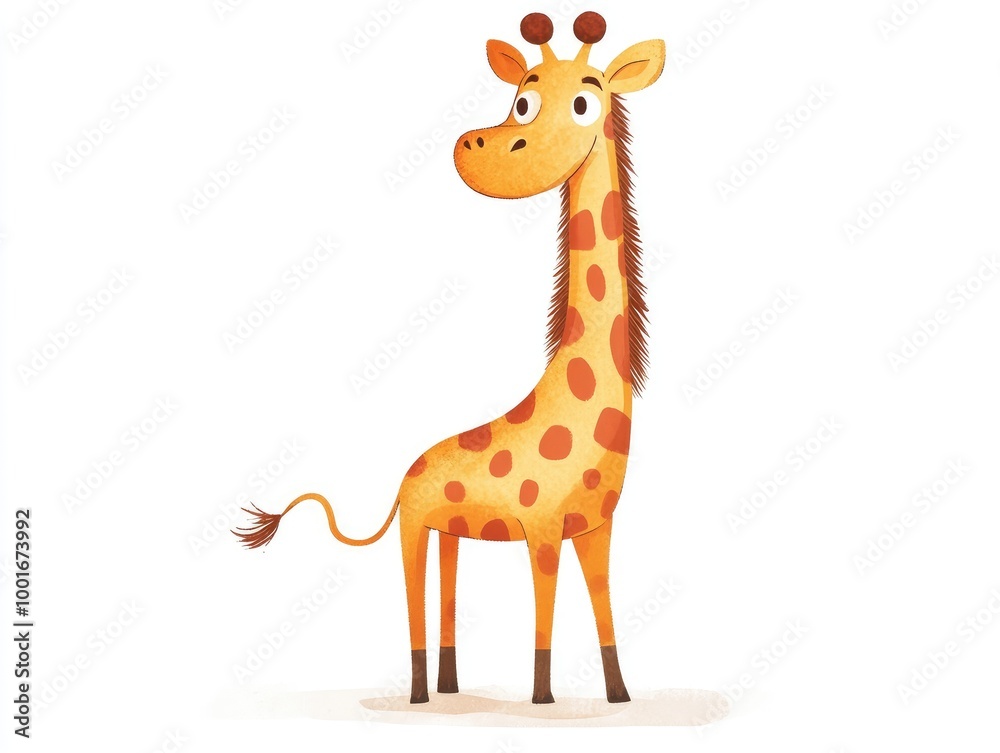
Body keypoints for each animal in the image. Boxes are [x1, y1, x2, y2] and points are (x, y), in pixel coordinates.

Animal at [234, 11, 665, 706]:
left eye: (584, 102)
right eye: (520, 99)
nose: (472, 146)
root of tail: (406, 475)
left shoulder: (595, 528)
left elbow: (603, 609)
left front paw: (619, 696)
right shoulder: (542, 529)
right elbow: (545, 611)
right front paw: (542, 699)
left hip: (449, 531)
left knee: (446, 595)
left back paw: (449, 684)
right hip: (414, 526)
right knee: (413, 598)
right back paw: (418, 693)